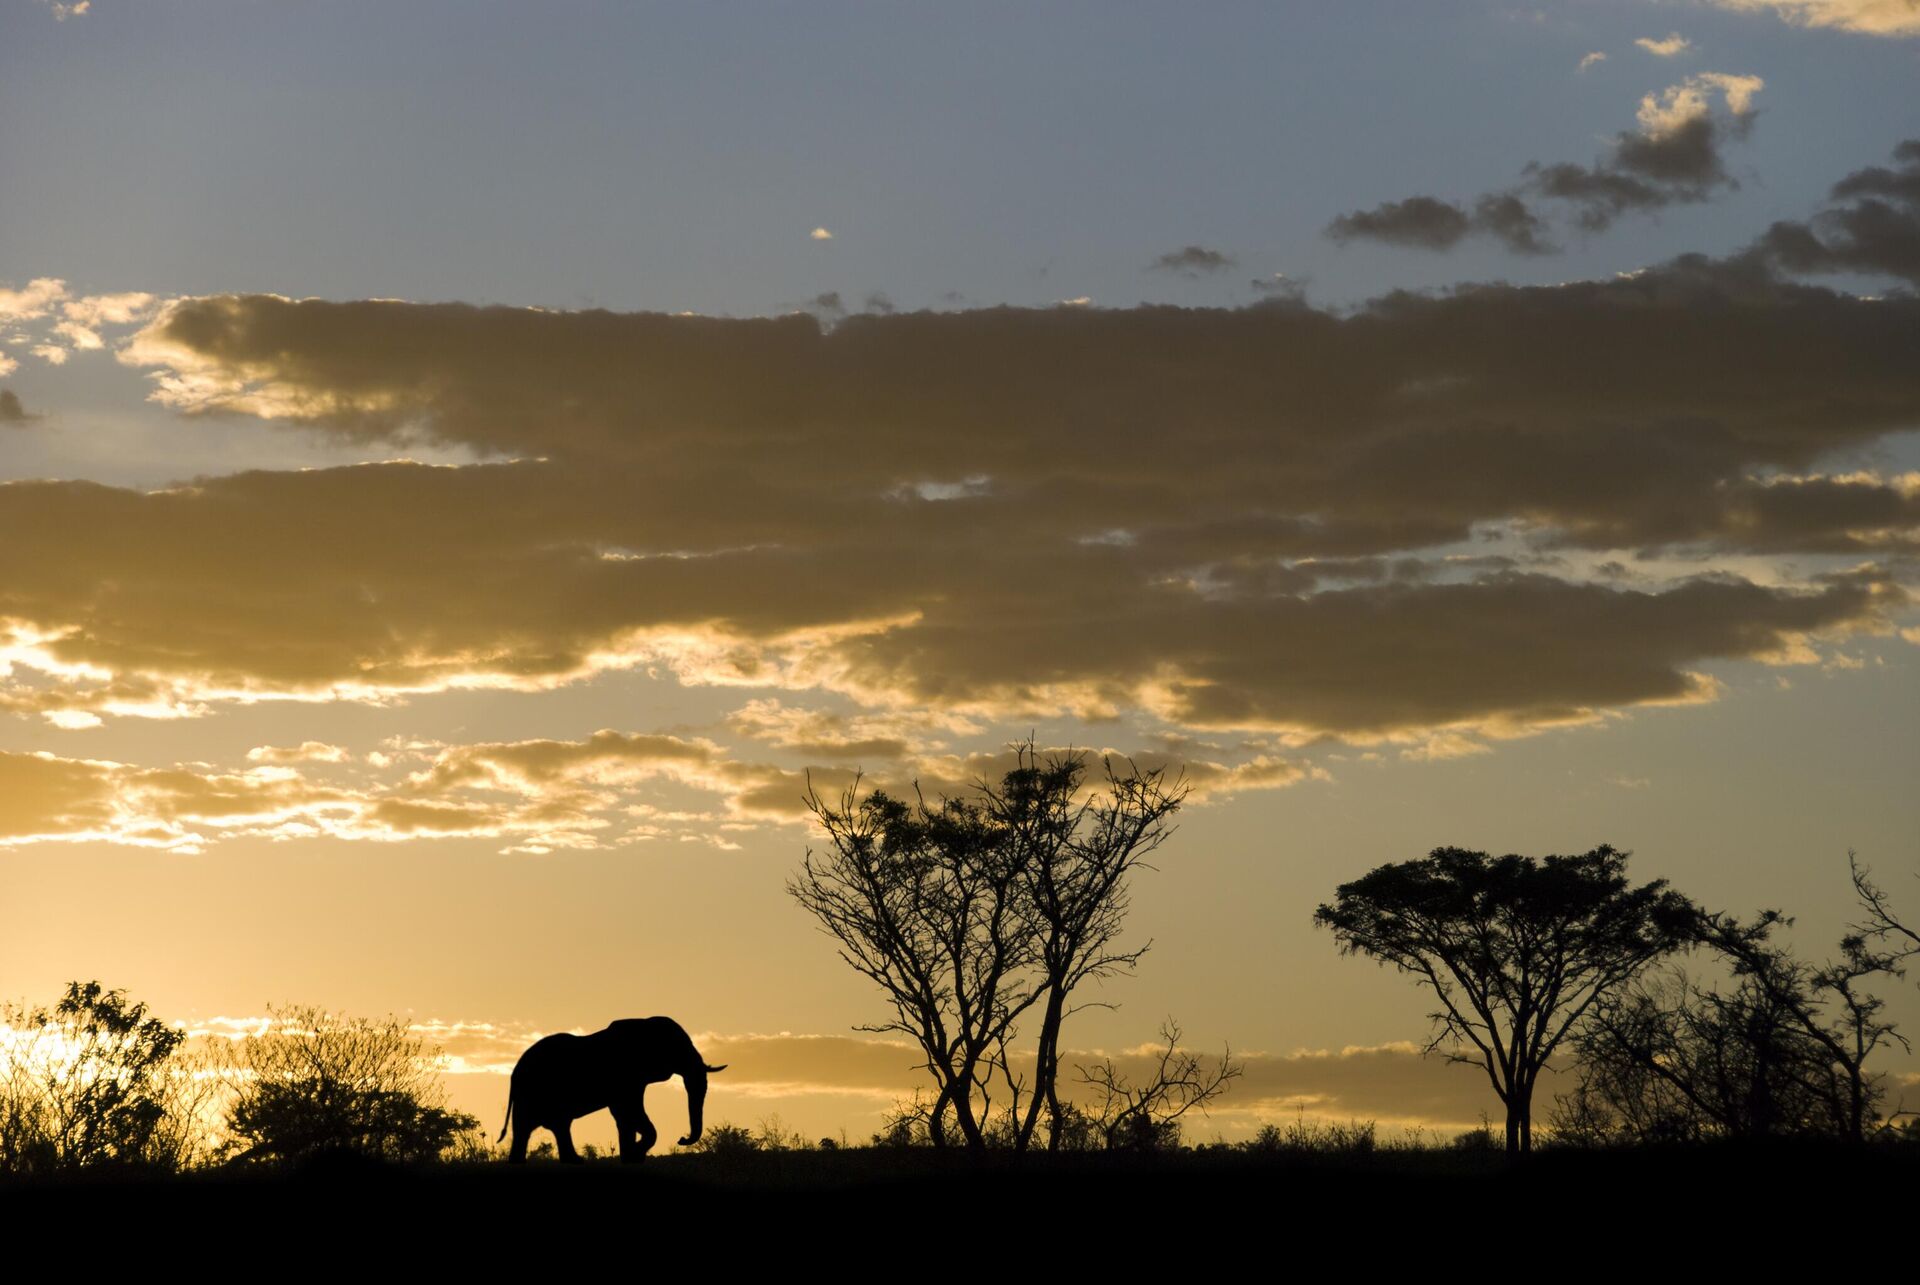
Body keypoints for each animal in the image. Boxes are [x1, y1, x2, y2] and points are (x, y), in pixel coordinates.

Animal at [495, 1014, 725, 1160]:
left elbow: (625, 1116)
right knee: (533, 1127)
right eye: (678, 1047)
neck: (644, 1023)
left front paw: (631, 1155)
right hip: (532, 1092)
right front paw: (635, 1152)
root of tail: (514, 1072)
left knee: (551, 1127)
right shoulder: (624, 1076)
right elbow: (628, 1111)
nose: (682, 1138)